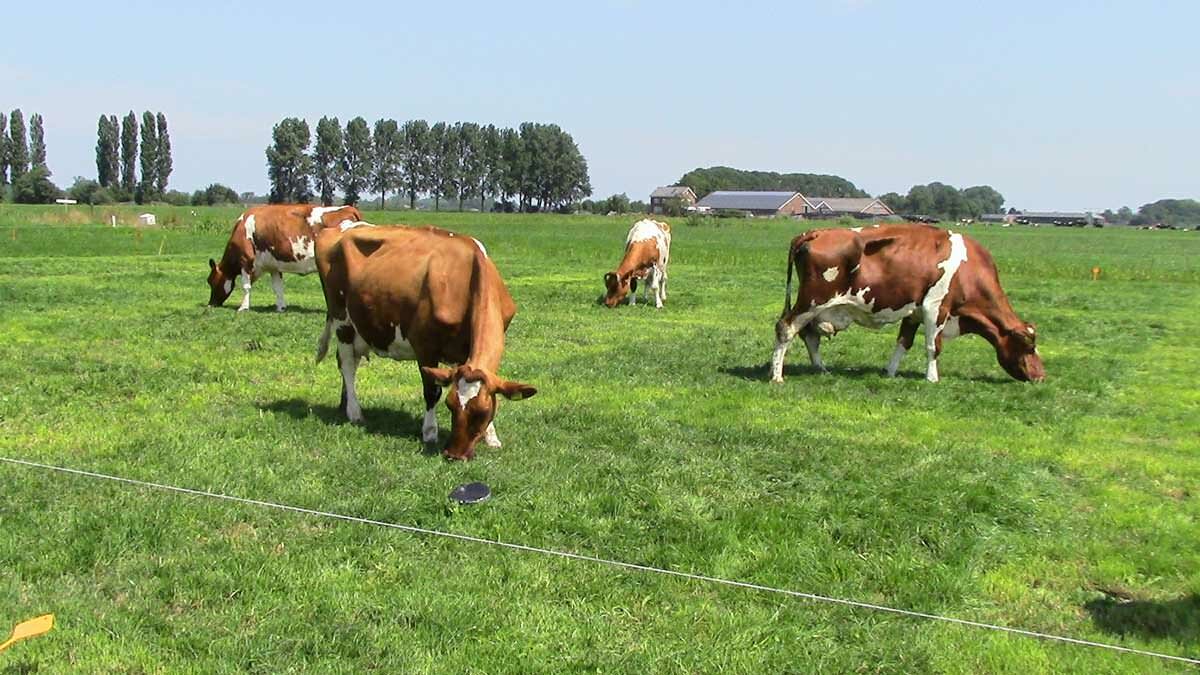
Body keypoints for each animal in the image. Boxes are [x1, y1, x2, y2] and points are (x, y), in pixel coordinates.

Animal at [207, 204, 363, 312]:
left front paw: (243, 308)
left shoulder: (245, 260)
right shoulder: (273, 267)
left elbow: (246, 286)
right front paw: (281, 307)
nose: (210, 304)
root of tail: (349, 208)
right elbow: (278, 288)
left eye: (210, 281)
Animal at [314, 225, 536, 461]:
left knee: (349, 364)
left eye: (483, 413)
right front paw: (429, 432)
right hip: (342, 320)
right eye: (450, 405)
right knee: (347, 366)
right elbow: (432, 391)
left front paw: (492, 437)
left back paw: (344, 404)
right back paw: (355, 412)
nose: (454, 454)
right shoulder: (424, 346)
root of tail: (339, 227)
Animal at [769, 224, 1045, 384]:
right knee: (786, 328)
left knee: (809, 335)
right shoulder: (936, 308)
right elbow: (933, 347)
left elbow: (903, 342)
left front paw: (890, 373)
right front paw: (932, 378)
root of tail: (815, 232)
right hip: (813, 300)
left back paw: (821, 369)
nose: (1041, 376)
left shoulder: (914, 312)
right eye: (1030, 347)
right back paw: (777, 376)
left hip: (816, 306)